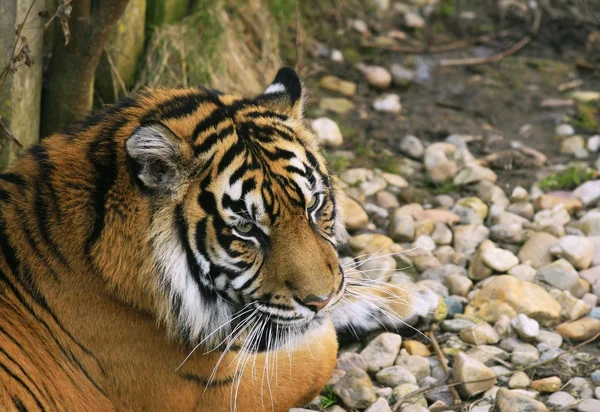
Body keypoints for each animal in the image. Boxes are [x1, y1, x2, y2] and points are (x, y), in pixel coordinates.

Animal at [0, 68, 426, 412]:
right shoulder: (214, 389)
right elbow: (321, 351)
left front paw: (405, 297)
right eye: (246, 229)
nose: (319, 302)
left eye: (313, 205)